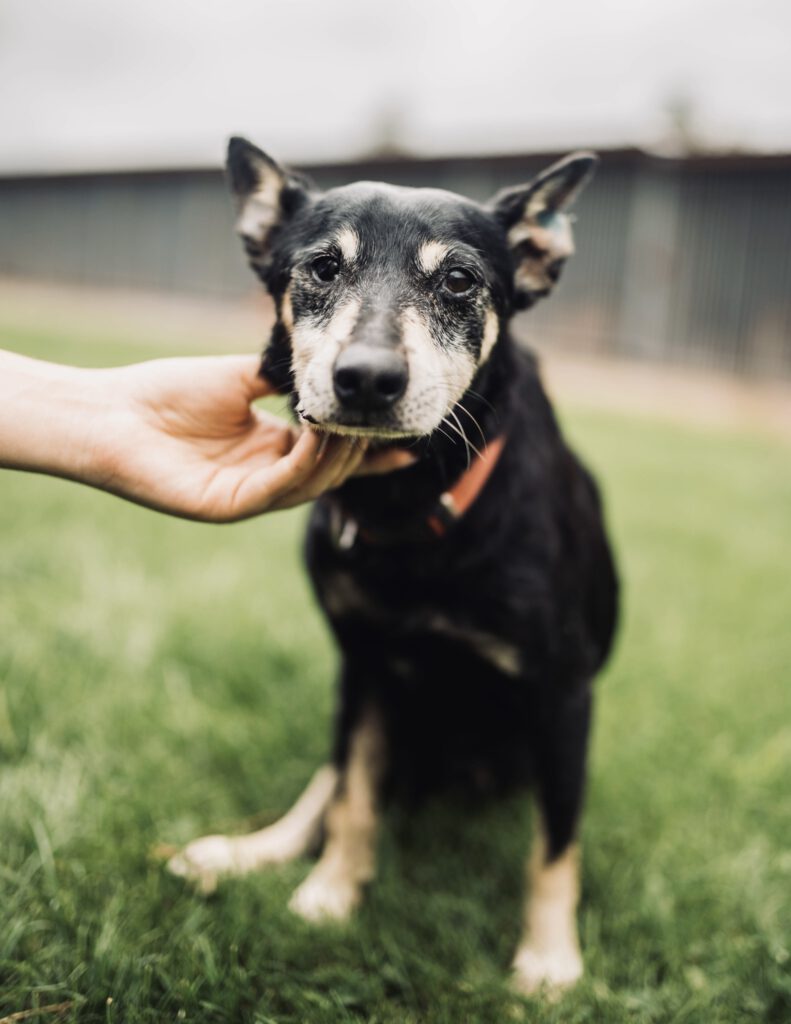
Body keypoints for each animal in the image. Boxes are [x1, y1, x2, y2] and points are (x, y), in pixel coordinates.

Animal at [170, 140, 622, 995]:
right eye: (321, 268)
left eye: (459, 281)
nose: (368, 379)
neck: (411, 503)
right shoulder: (366, 662)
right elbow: (353, 796)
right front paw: (329, 895)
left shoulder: (561, 694)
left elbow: (556, 843)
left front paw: (549, 959)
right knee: (327, 783)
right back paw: (244, 853)